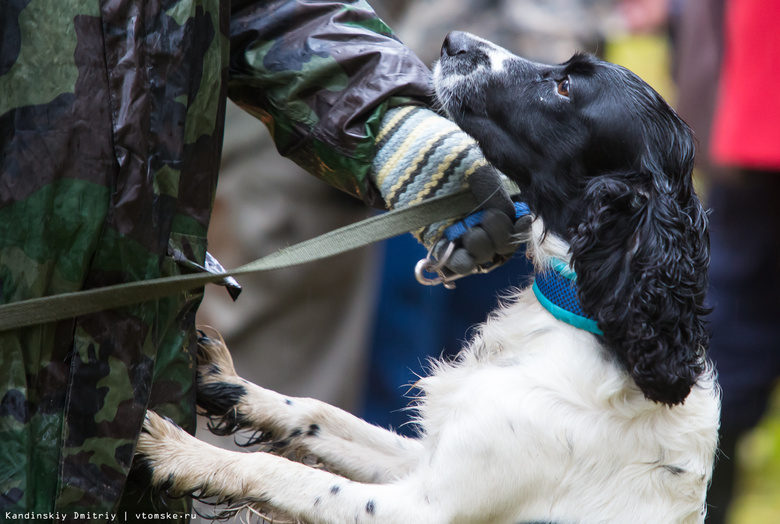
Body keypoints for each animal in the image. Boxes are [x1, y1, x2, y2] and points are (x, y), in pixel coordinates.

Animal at [137, 32, 724, 524]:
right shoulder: (425, 460)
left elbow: (282, 471)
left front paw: (177, 452)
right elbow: (315, 412)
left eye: (564, 88)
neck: (584, 322)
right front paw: (223, 381)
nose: (455, 40)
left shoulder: (424, 508)